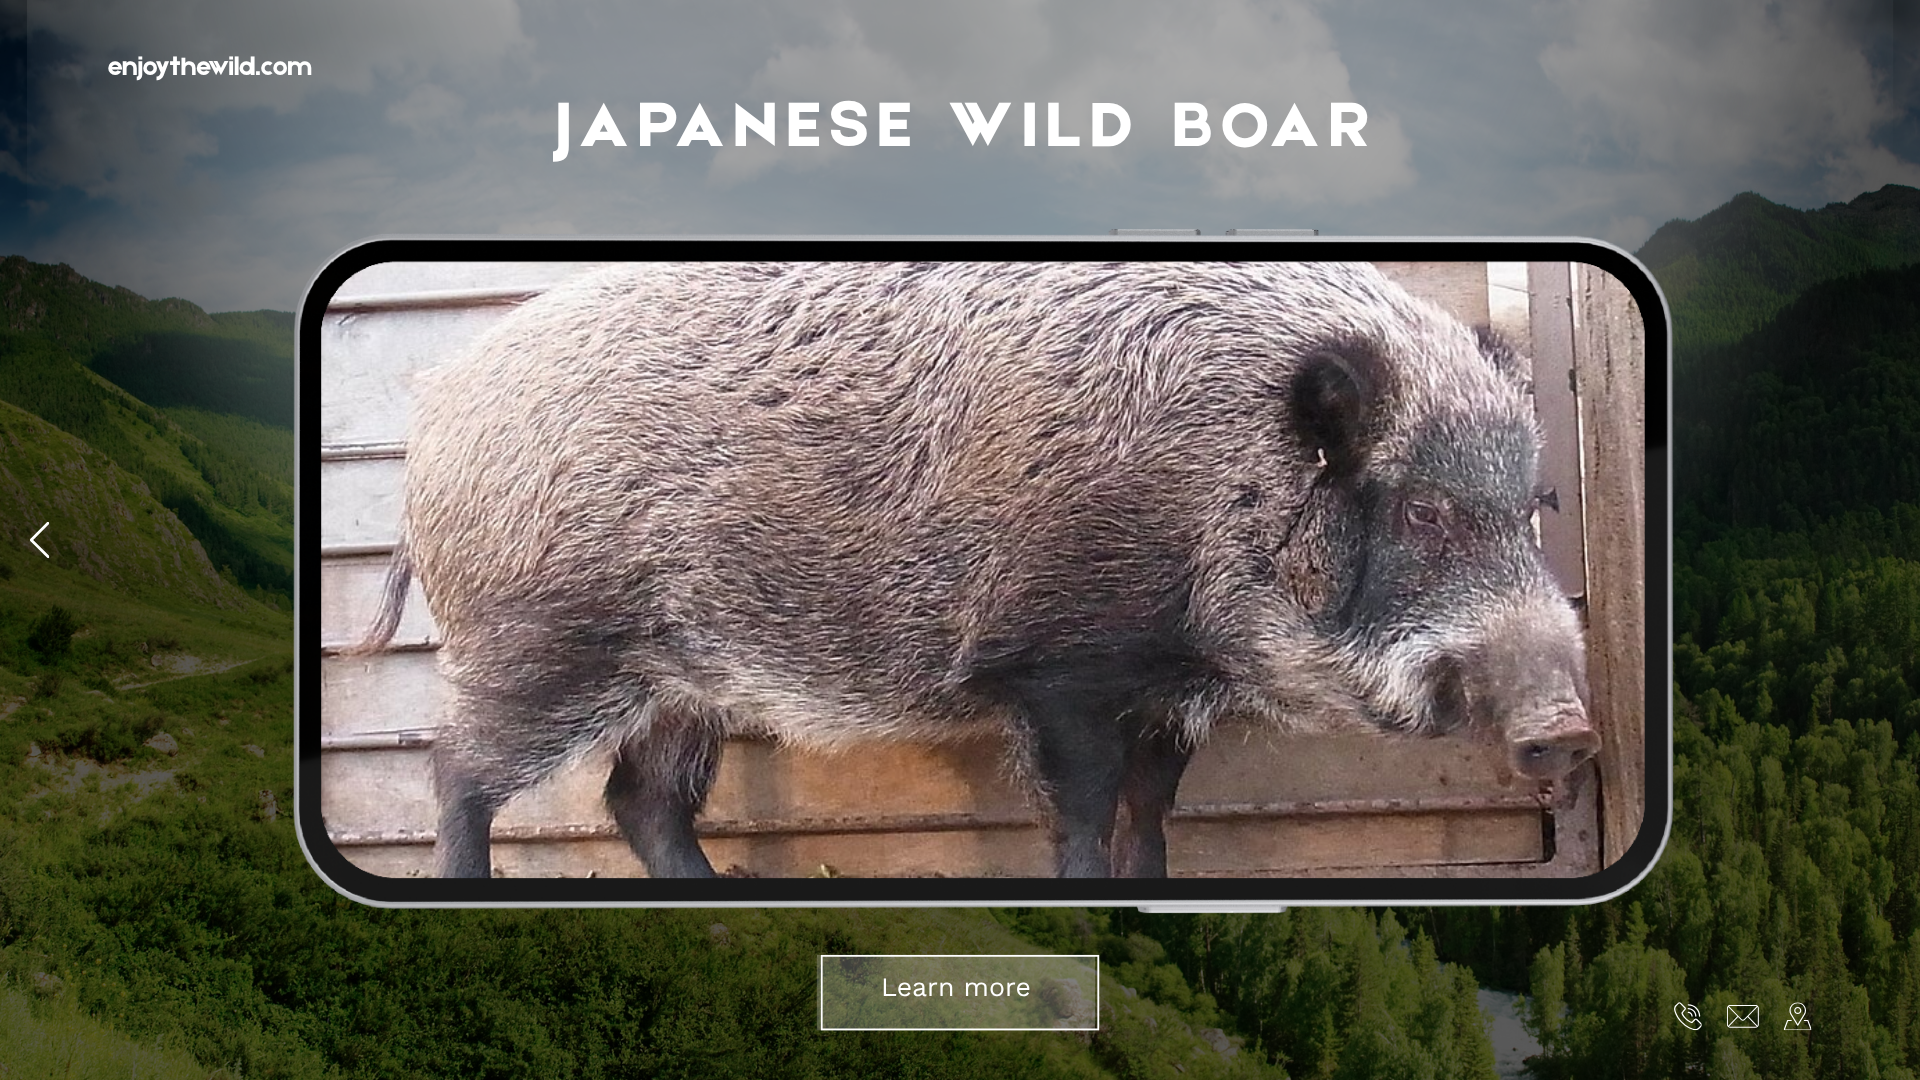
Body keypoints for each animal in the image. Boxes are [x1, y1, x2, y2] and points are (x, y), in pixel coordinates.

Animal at [352, 259, 1598, 879]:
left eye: (1530, 506)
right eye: (1425, 510)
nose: (1575, 728)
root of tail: (434, 415)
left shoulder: (1170, 693)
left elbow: (1154, 815)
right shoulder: (1062, 663)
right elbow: (1086, 812)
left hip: (681, 680)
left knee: (639, 799)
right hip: (544, 638)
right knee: (459, 770)